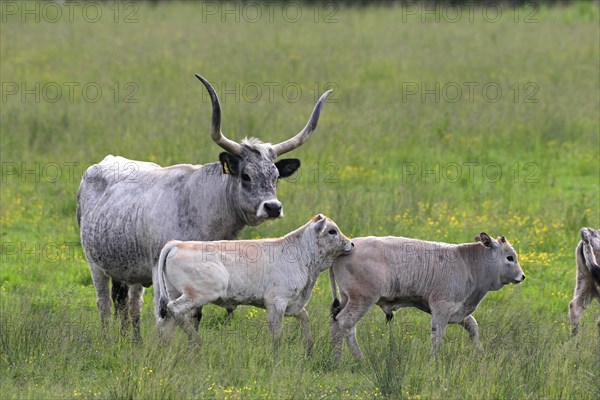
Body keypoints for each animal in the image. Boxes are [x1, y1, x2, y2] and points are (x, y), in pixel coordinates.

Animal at [76, 73, 332, 340]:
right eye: (246, 176)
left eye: (276, 176)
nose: (273, 207)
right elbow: (167, 315)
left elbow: (196, 314)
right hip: (96, 264)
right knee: (105, 304)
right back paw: (109, 339)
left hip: (130, 271)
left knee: (131, 304)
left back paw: (134, 342)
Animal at [328, 231, 524, 360]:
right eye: (510, 257)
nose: (522, 276)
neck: (467, 263)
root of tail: (349, 246)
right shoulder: (442, 306)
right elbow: (438, 335)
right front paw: (434, 361)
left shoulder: (458, 309)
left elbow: (472, 326)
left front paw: (480, 352)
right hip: (362, 301)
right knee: (346, 323)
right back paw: (359, 358)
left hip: (346, 299)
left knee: (335, 323)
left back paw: (337, 358)